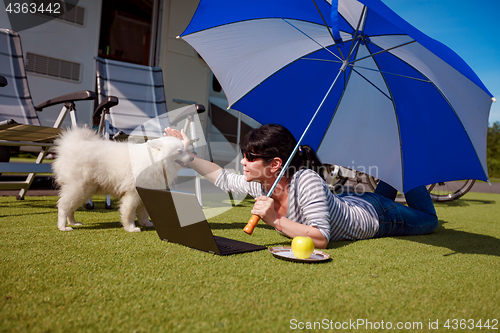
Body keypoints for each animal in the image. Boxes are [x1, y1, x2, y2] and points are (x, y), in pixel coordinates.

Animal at [52, 126, 193, 232]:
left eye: (184, 149)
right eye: (179, 151)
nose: (192, 158)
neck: (154, 161)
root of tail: (72, 146)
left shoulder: (144, 193)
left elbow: (143, 213)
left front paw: (146, 224)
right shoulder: (132, 194)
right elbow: (129, 212)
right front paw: (131, 228)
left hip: (85, 190)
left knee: (70, 208)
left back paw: (73, 222)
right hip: (79, 188)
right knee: (63, 206)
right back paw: (63, 227)